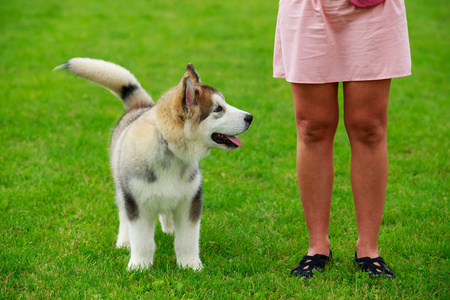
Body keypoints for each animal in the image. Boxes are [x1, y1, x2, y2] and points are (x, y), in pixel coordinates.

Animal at [54, 57, 251, 270]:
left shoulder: (190, 201)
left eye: (223, 104)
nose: (250, 117)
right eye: (218, 109)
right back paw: (124, 241)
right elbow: (142, 240)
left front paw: (191, 266)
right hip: (122, 188)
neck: (168, 148)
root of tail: (141, 106)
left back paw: (170, 229)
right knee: (123, 215)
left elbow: (187, 240)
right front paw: (139, 267)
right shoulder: (137, 203)